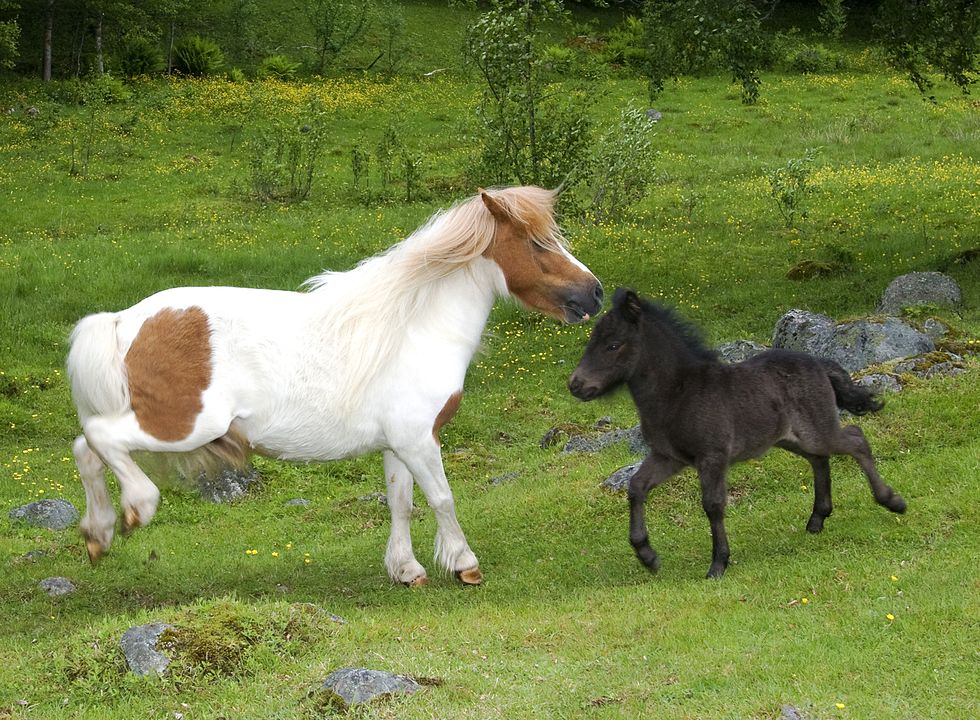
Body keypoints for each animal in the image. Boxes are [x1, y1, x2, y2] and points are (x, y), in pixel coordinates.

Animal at [69, 186, 600, 584]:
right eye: (538, 244)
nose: (595, 293)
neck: (415, 327)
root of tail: (122, 321)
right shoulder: (419, 440)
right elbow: (442, 498)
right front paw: (464, 564)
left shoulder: (398, 445)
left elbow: (402, 502)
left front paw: (406, 569)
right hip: (184, 425)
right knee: (100, 439)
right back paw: (136, 508)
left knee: (85, 450)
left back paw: (98, 534)